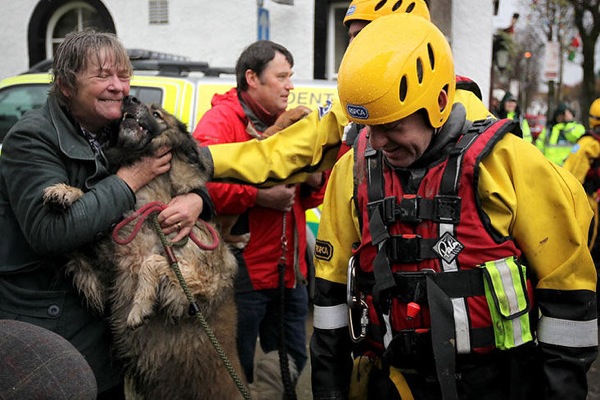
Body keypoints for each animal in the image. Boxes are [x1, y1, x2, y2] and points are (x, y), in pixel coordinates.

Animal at [42, 97, 246, 400]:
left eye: (157, 113)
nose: (131, 98)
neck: (155, 201)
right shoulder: (107, 272)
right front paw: (66, 192)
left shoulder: (196, 281)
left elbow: (153, 262)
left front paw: (139, 307)